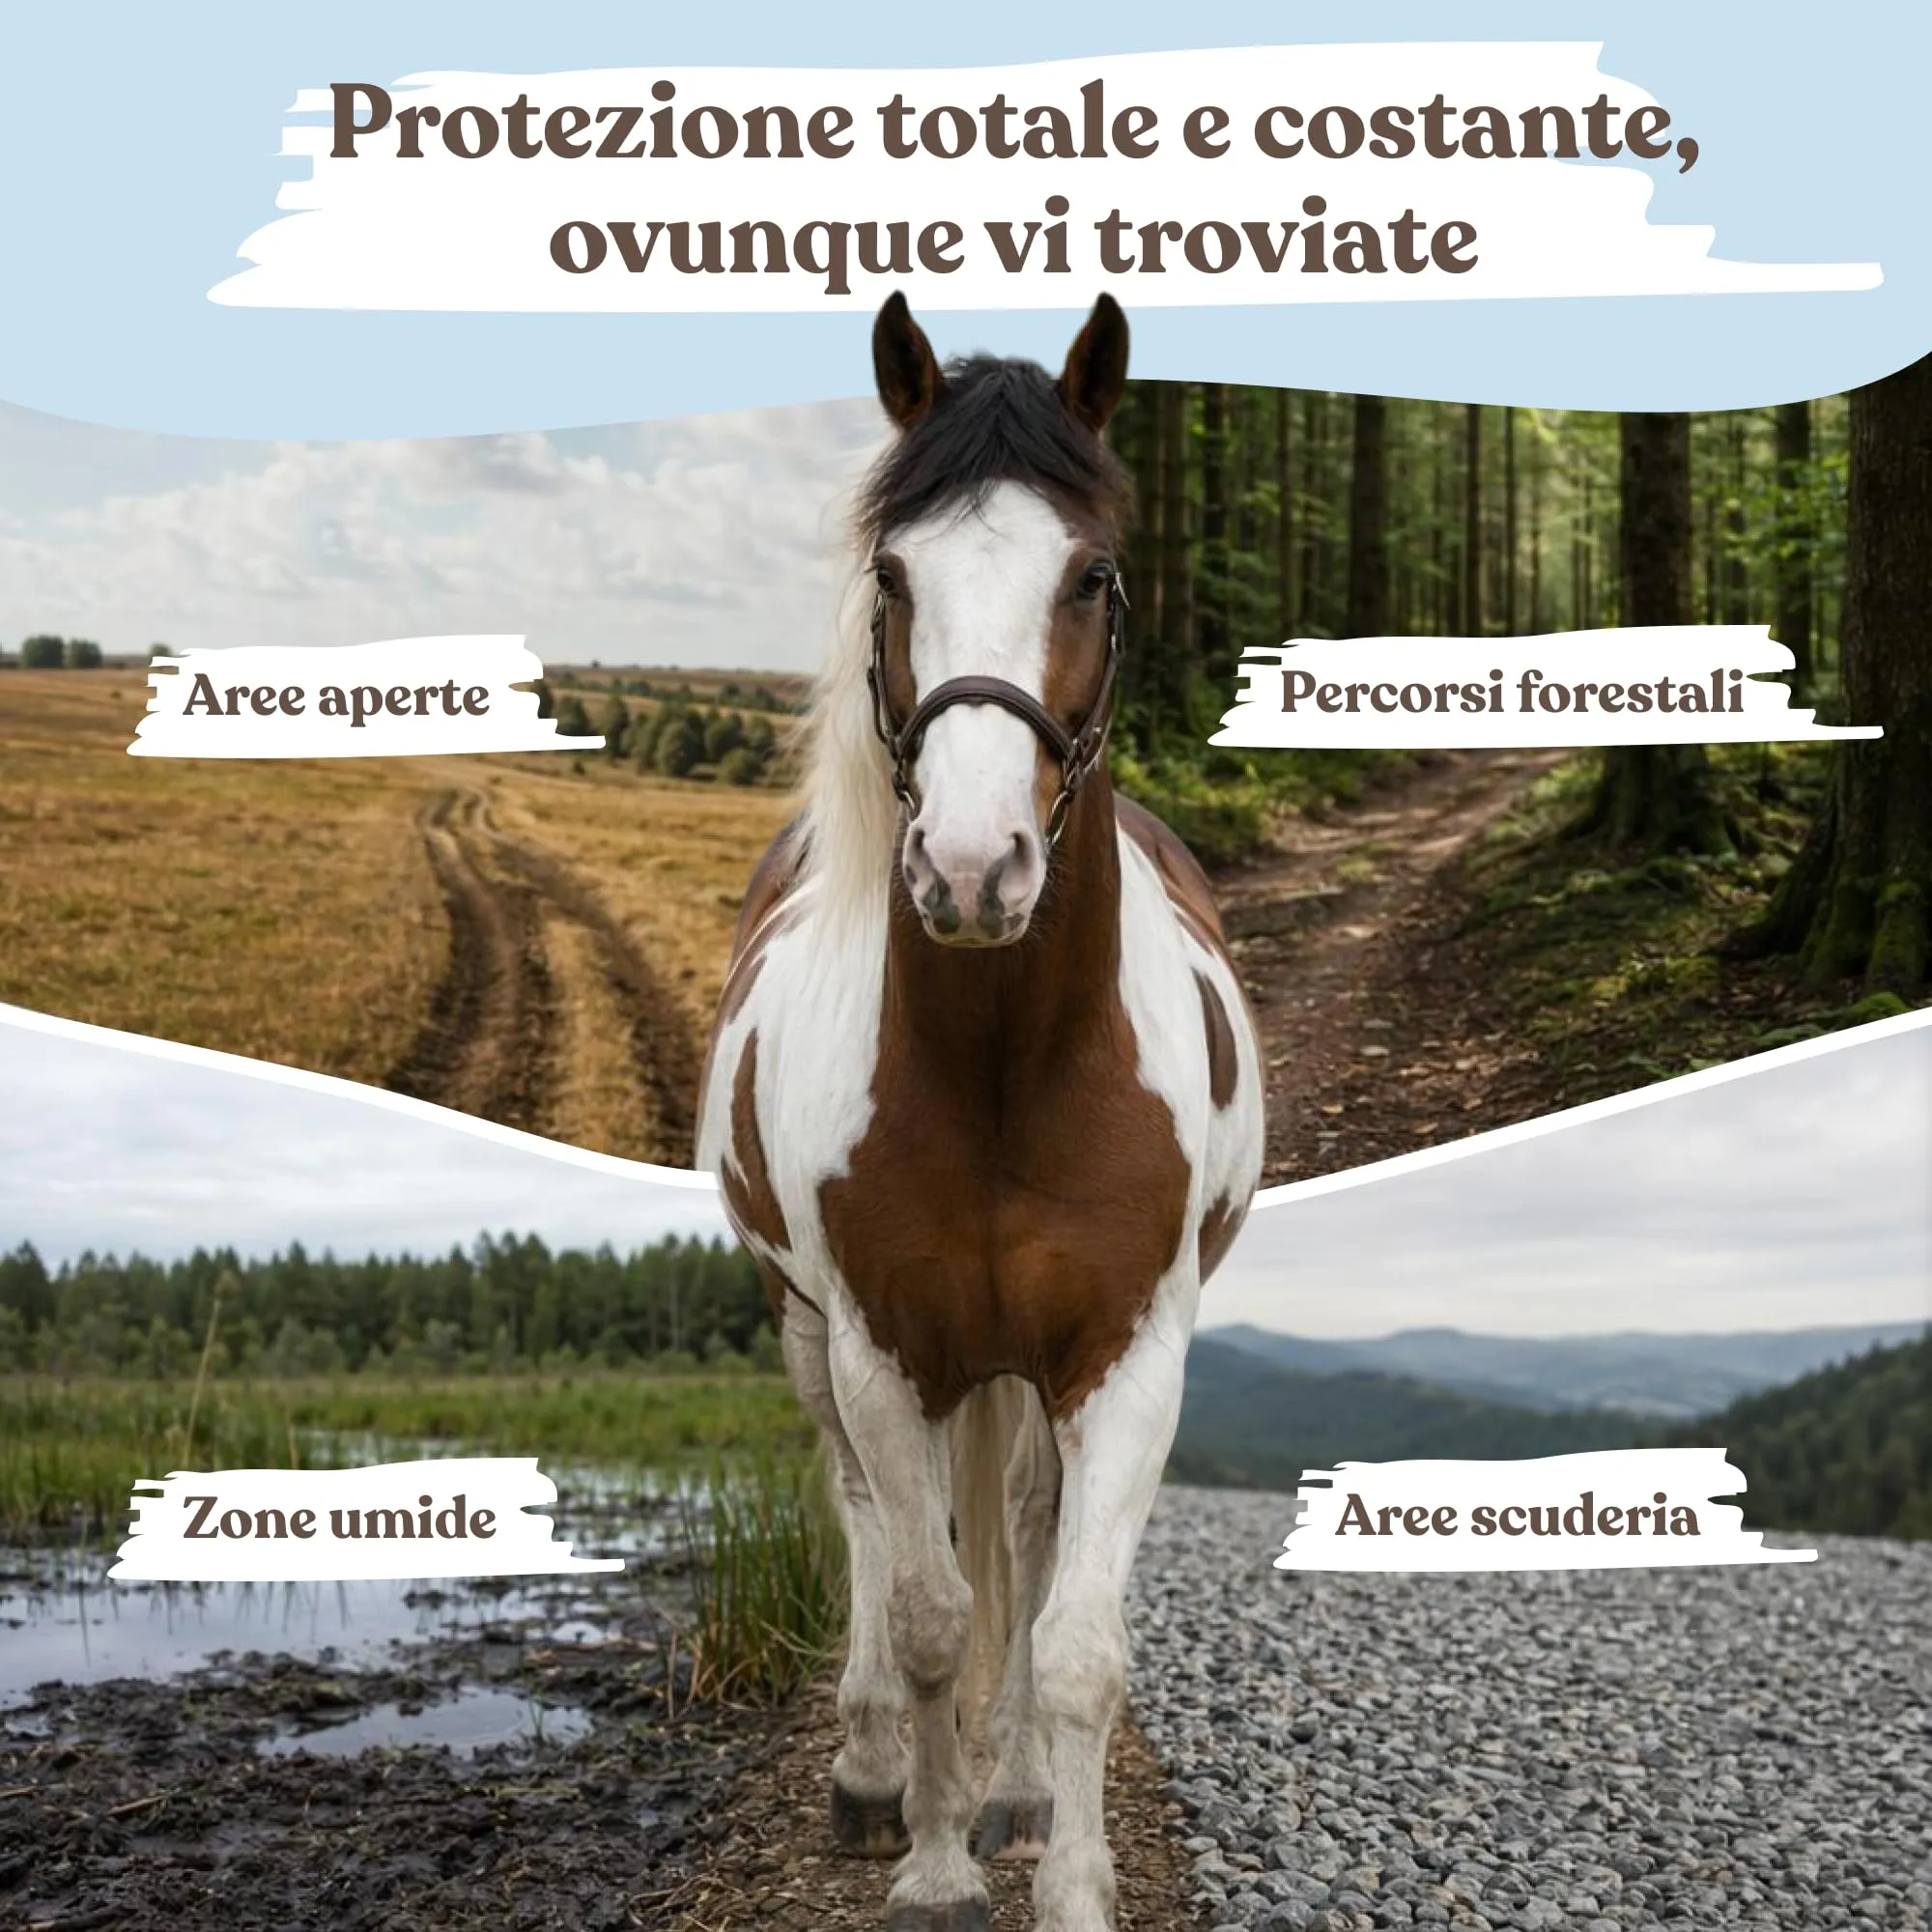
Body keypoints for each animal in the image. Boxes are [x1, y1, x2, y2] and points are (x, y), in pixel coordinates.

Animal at [697, 291, 1264, 1932]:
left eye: (1095, 574)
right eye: (895, 574)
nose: (969, 868)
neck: (1010, 1067)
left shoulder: (1127, 1355)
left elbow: (1070, 1639)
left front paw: (1061, 1874)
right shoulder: (887, 1348)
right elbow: (935, 1609)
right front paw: (938, 1863)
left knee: (1017, 1520)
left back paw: (1007, 1785)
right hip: (810, 1329)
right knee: (867, 1525)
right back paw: (880, 1769)